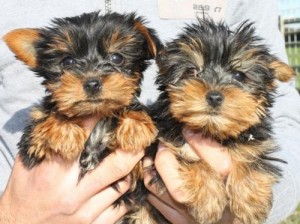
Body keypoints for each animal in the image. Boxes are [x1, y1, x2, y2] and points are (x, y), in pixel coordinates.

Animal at [151, 19, 296, 224]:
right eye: (191, 71)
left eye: (239, 76)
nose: (214, 96)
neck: (212, 131)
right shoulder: (167, 144)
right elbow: (192, 158)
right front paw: (208, 202)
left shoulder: (256, 142)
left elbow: (250, 157)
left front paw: (250, 203)